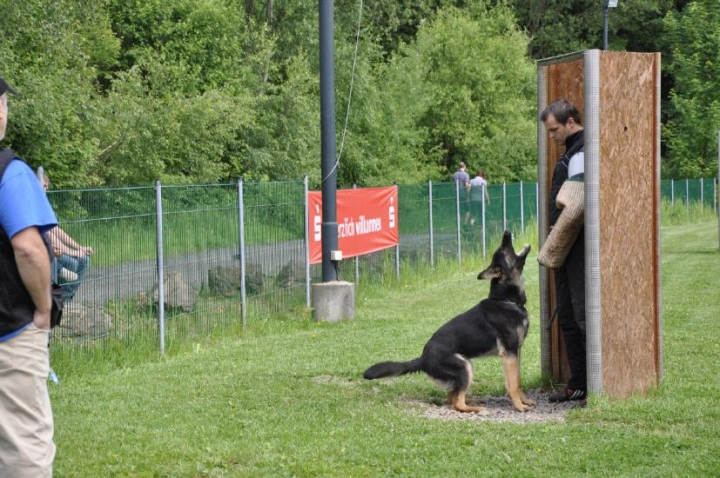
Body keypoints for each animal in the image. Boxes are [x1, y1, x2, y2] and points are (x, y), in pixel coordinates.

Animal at [362, 231, 536, 410]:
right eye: (503, 249)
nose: (506, 232)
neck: (505, 300)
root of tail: (422, 358)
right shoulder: (509, 355)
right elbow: (513, 384)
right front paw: (519, 406)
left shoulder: (516, 352)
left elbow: (519, 381)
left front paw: (525, 401)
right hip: (465, 367)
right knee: (457, 402)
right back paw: (475, 408)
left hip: (466, 365)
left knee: (451, 398)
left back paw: (473, 402)